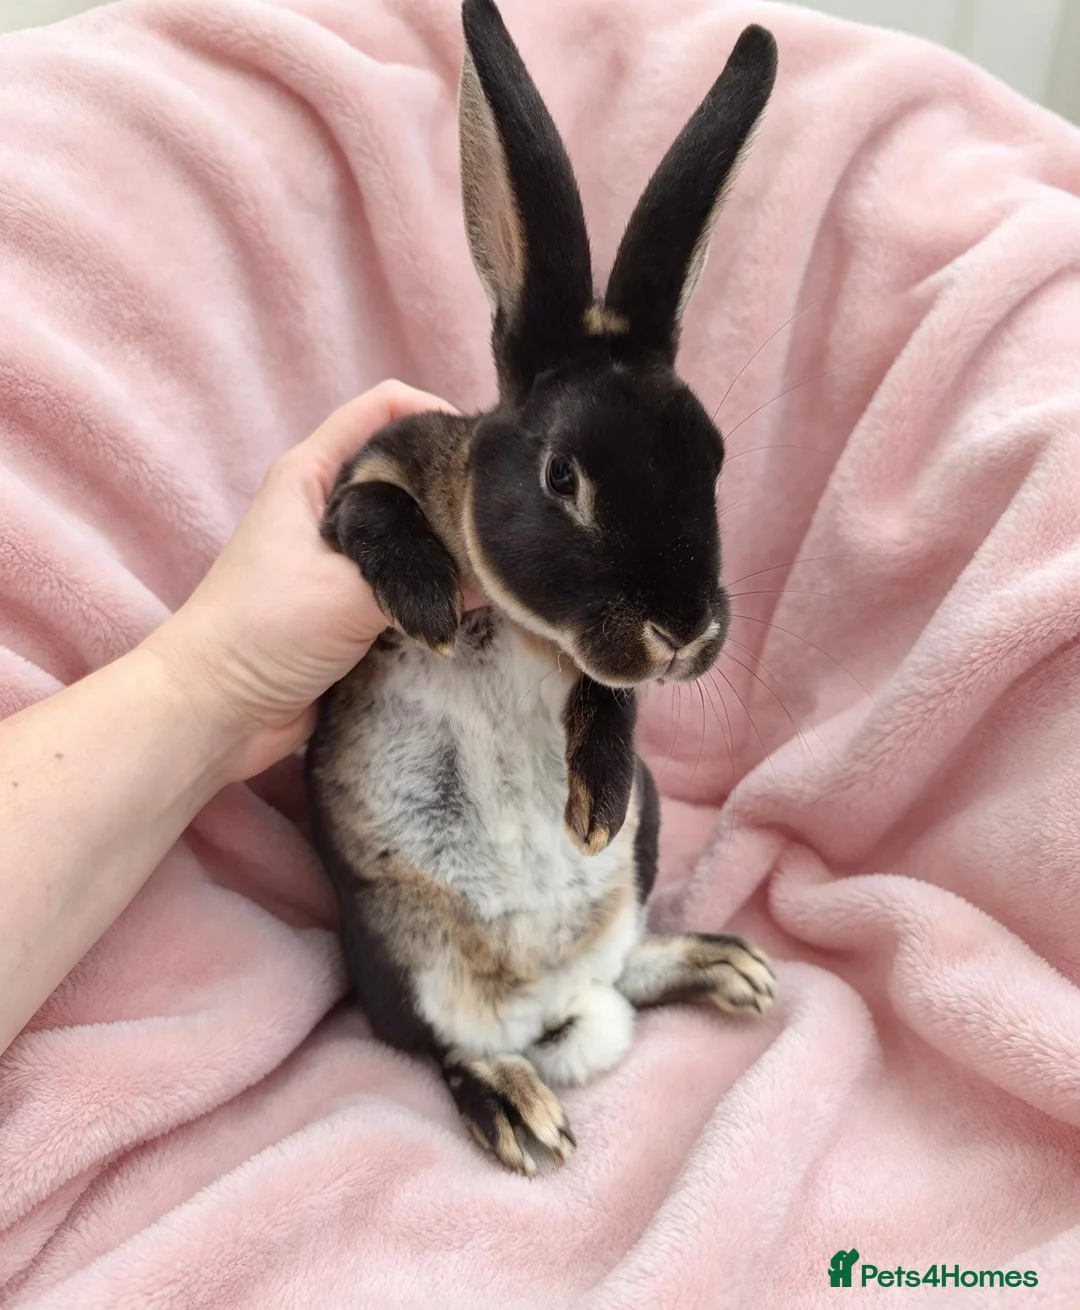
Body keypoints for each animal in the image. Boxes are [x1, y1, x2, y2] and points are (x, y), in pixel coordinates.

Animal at [305, 0, 779, 1175]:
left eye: (713, 462)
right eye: (564, 476)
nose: (683, 630)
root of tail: (559, 1009)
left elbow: (605, 697)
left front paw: (591, 800)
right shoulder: (351, 486)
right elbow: (371, 509)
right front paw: (429, 600)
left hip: (638, 877)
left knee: (629, 965)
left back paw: (727, 968)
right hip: (398, 953)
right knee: (450, 1046)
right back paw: (517, 1109)